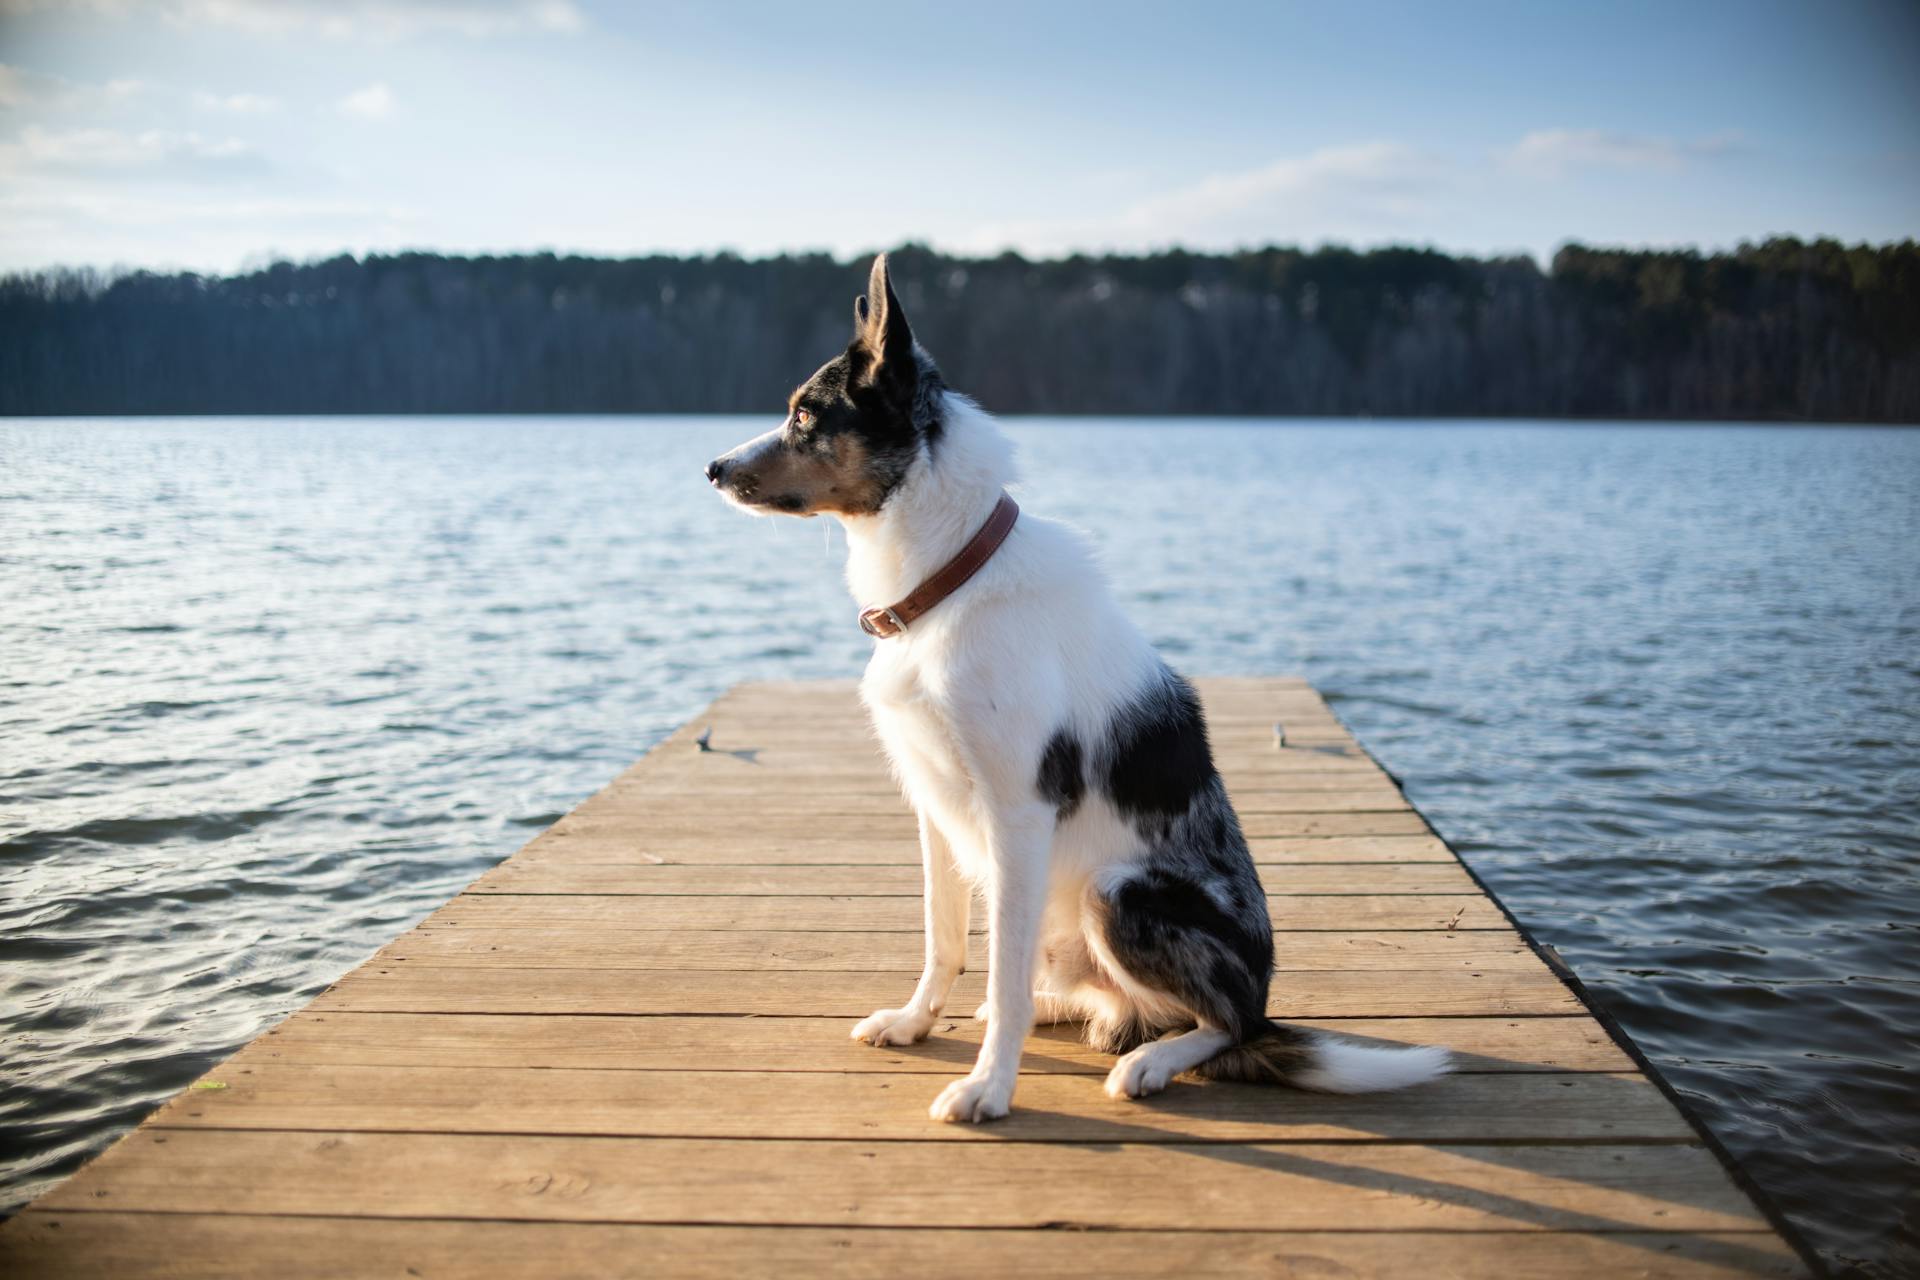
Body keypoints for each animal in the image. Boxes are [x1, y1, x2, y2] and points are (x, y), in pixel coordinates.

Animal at [702, 253, 1443, 1120]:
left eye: (805, 416)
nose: (712, 469)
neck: (949, 579)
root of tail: (1263, 990)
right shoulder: (934, 806)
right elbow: (945, 940)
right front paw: (917, 1023)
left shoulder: (1017, 812)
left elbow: (1001, 969)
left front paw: (989, 1087)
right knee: (1123, 1003)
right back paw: (1084, 1013)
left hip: (1118, 893)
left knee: (1226, 1025)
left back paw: (1153, 1060)